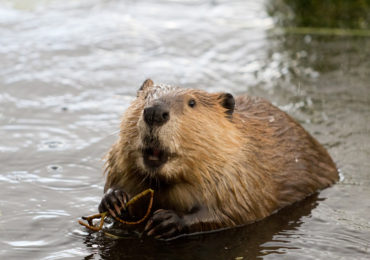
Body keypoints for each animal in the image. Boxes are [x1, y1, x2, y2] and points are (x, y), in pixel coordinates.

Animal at [99, 78, 338, 238]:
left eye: (192, 103)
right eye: (145, 97)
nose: (155, 112)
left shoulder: (240, 174)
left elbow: (235, 212)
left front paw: (166, 220)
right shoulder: (118, 162)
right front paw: (114, 199)